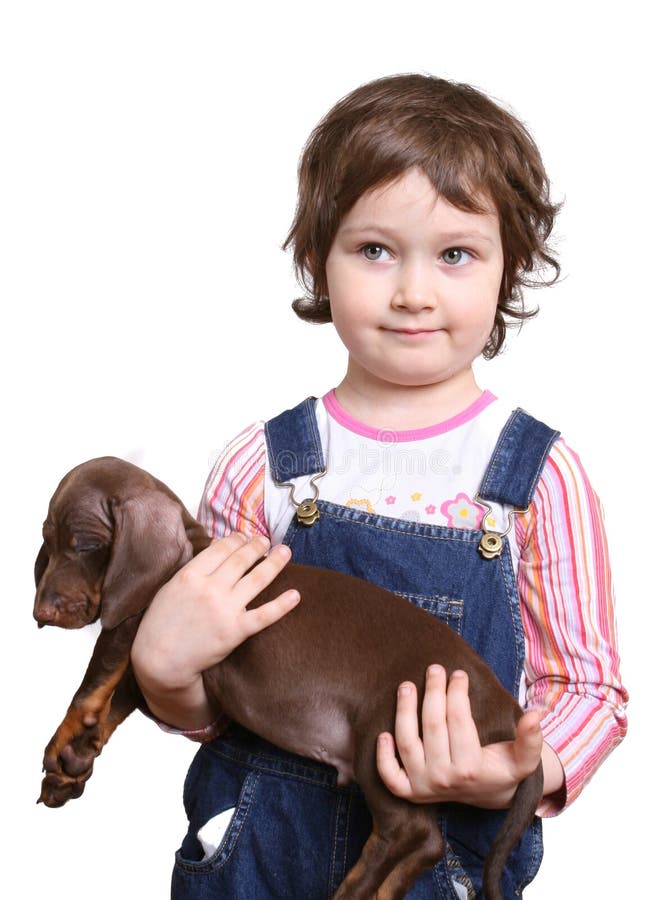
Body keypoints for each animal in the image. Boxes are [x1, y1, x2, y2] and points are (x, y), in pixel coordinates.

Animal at [34, 458, 540, 900]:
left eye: (85, 544)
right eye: (48, 541)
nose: (41, 613)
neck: (193, 554)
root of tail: (507, 710)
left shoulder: (134, 619)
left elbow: (94, 681)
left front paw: (61, 743)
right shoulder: (160, 652)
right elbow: (119, 699)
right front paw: (74, 760)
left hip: (385, 732)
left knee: (406, 830)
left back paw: (350, 893)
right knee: (428, 842)